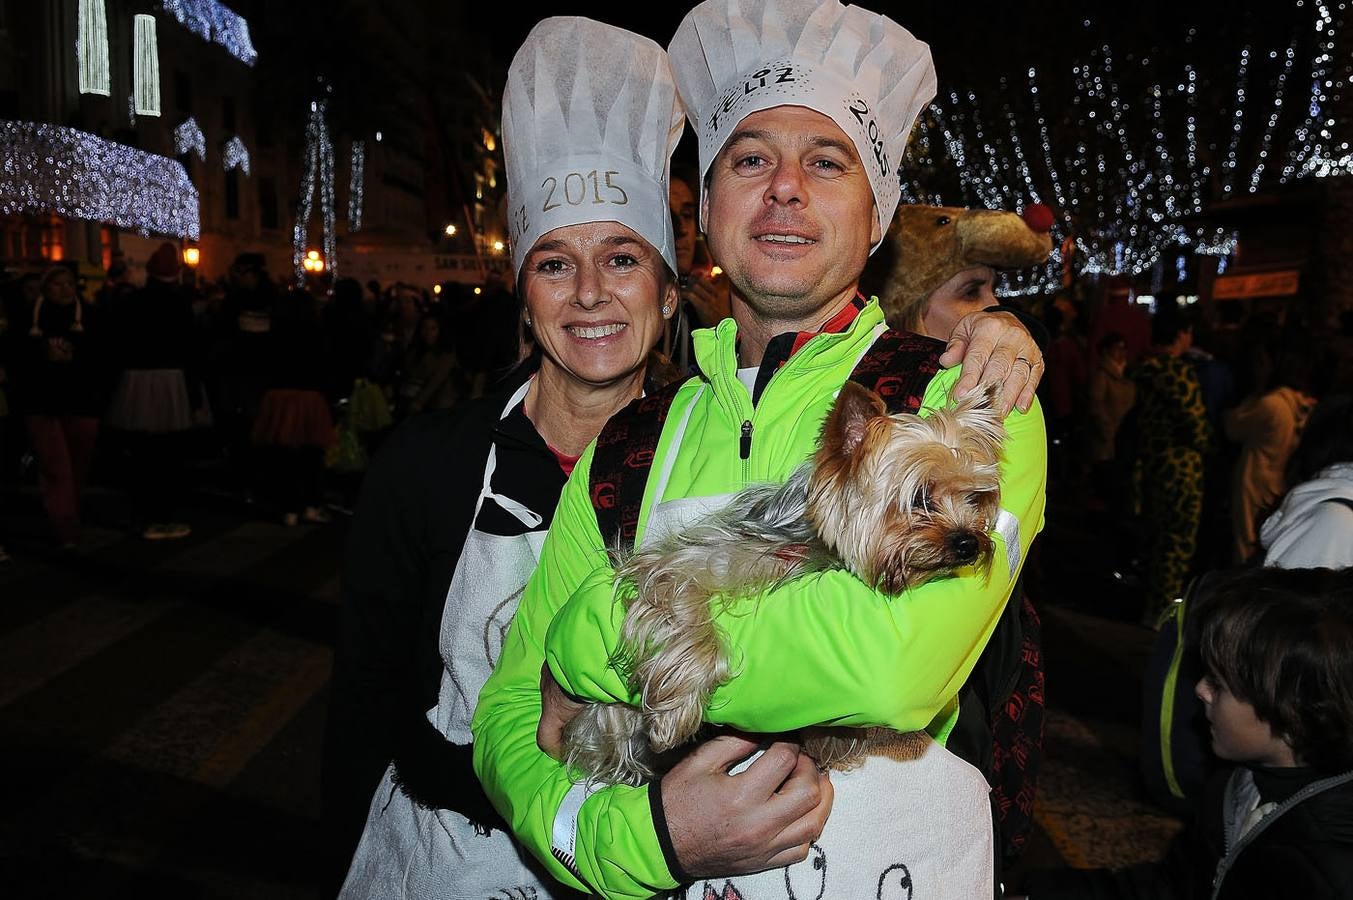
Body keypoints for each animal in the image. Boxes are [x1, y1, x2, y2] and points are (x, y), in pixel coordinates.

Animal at [560, 378, 1006, 784]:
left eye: (975, 498)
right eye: (920, 499)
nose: (969, 543)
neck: (814, 545)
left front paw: (833, 741)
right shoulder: (685, 561)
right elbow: (687, 614)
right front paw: (674, 714)